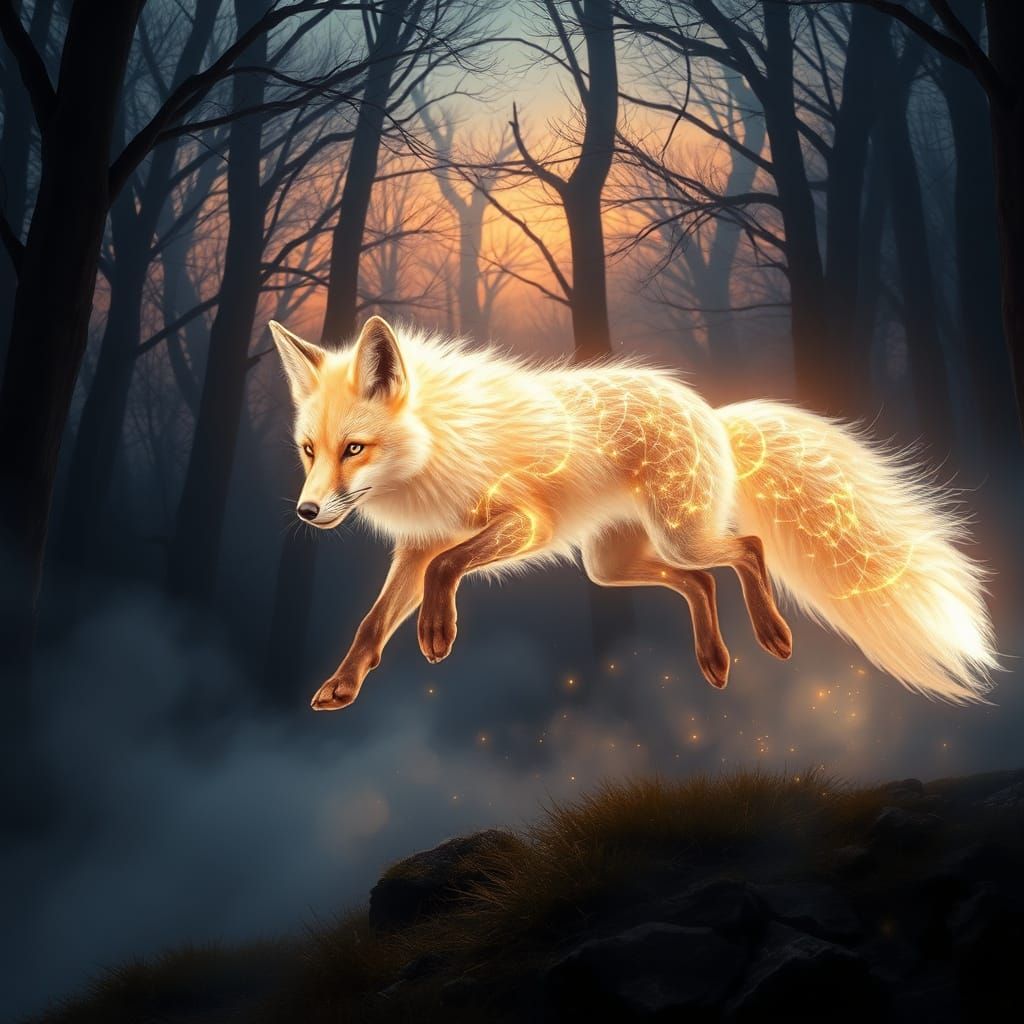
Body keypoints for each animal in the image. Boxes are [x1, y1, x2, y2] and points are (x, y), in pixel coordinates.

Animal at [269, 314, 998, 711]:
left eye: (355, 448)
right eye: (308, 450)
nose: (306, 511)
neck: (441, 444)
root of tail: (713, 413)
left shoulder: (524, 524)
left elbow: (448, 569)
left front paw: (437, 633)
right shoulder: (418, 544)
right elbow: (373, 622)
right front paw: (341, 686)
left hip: (677, 537)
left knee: (748, 550)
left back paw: (771, 634)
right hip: (610, 564)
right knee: (701, 582)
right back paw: (714, 660)